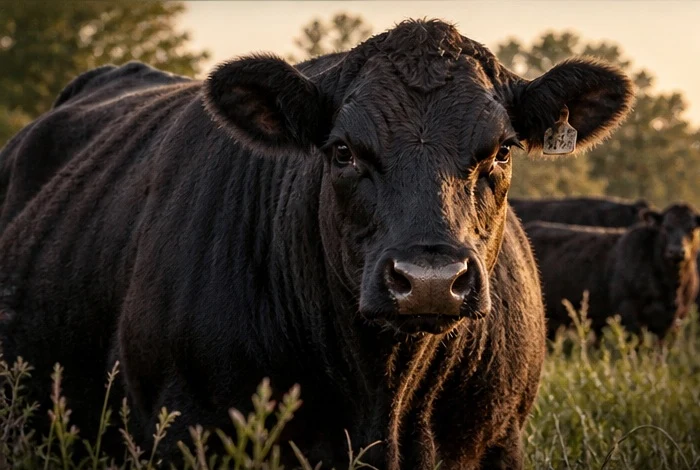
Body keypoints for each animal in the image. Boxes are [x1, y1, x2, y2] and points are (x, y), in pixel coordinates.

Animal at [0, 19, 633, 469]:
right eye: (343, 151)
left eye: (501, 151)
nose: (429, 280)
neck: (386, 397)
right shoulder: (181, 429)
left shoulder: (499, 441)